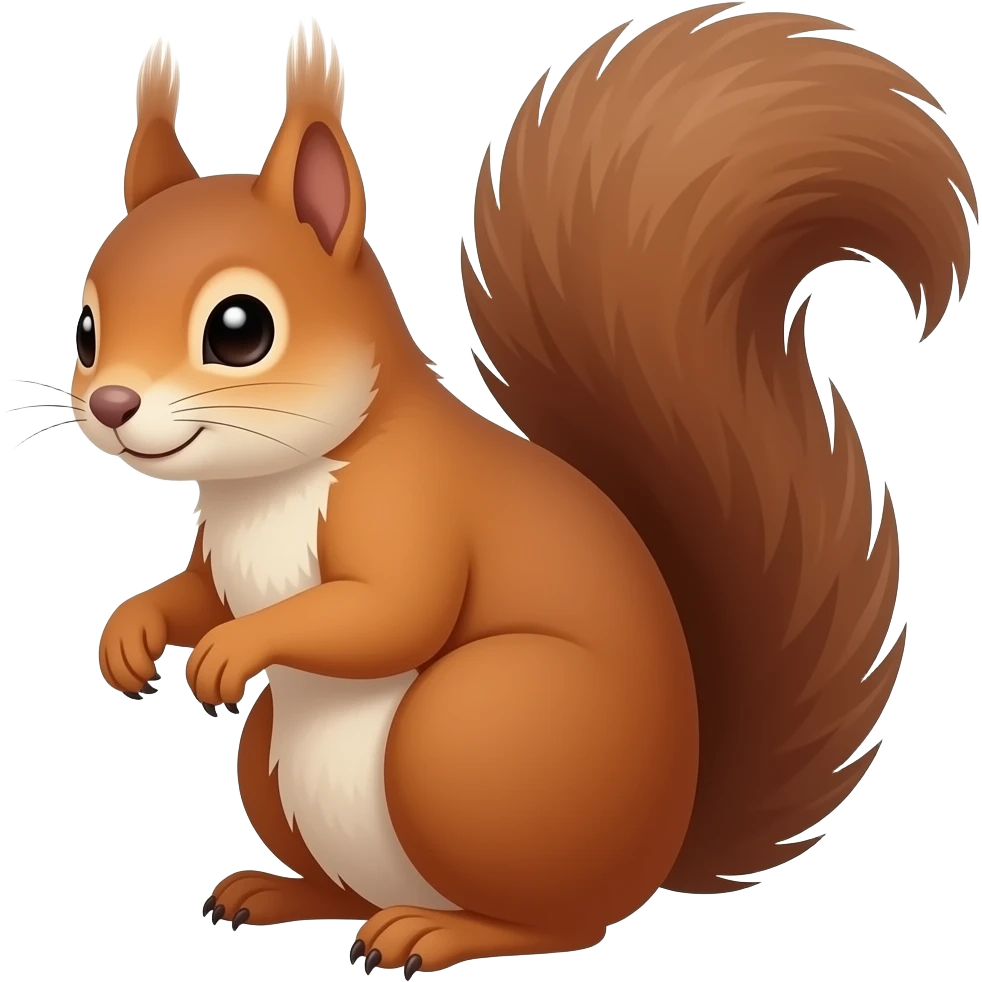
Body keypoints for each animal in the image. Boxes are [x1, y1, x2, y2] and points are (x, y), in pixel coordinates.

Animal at [82, 5, 974, 976]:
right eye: (86, 328)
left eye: (239, 329)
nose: (110, 404)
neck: (268, 485)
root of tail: (655, 855)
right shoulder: (221, 550)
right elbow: (199, 593)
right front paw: (131, 633)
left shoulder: (412, 506)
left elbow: (393, 610)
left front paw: (233, 650)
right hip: (279, 764)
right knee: (354, 889)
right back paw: (285, 894)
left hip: (471, 732)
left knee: (556, 923)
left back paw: (434, 932)